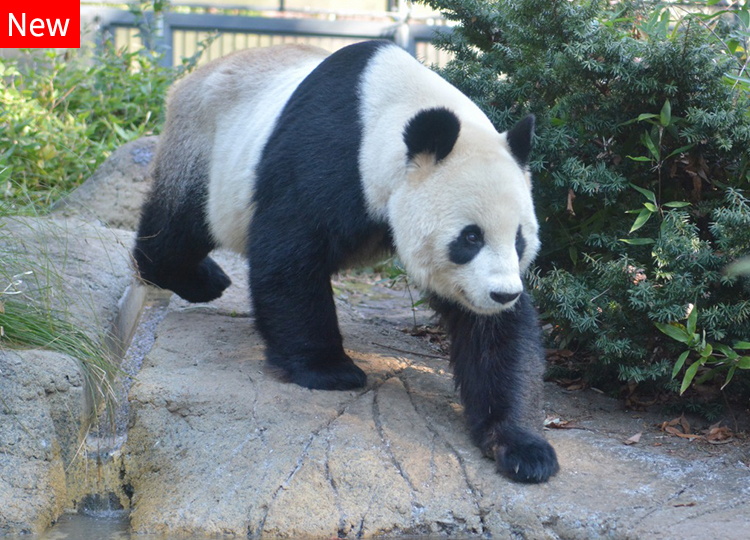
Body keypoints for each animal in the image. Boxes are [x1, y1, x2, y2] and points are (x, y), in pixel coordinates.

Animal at [134, 40, 560, 484]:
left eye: (519, 239)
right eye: (471, 237)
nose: (502, 294)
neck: (388, 112)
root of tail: (190, 80)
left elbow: (494, 336)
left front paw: (522, 447)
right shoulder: (326, 155)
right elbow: (289, 256)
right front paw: (329, 370)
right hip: (204, 147)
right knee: (179, 226)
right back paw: (198, 278)